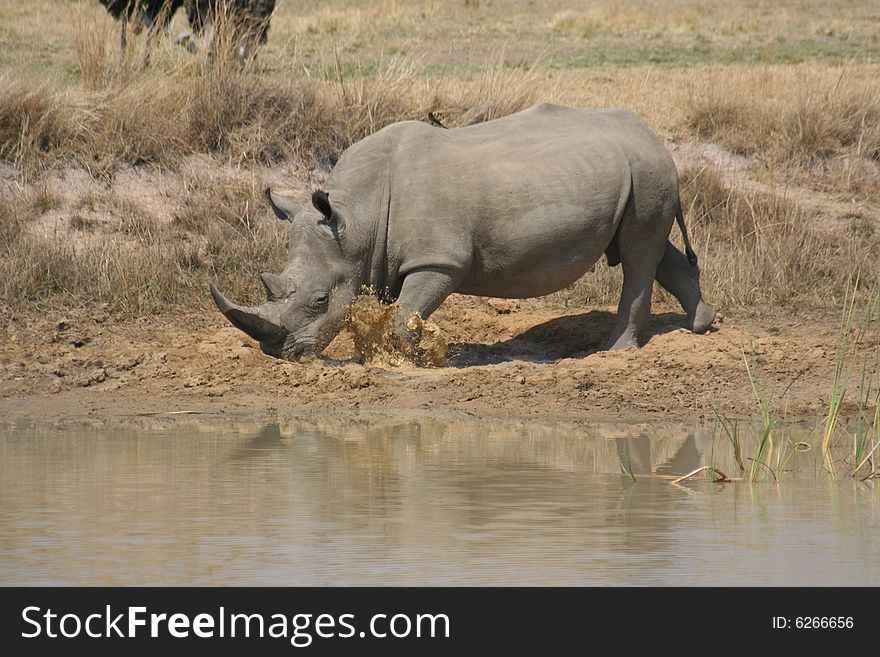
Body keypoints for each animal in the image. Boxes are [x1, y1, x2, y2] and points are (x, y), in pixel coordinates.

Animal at [211, 102, 716, 358]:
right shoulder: (385, 258)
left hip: (646, 169)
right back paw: (700, 325)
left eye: (319, 300)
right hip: (638, 171)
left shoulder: (439, 261)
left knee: (636, 254)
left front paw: (408, 361)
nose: (278, 352)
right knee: (649, 248)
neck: (355, 219)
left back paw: (613, 352)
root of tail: (653, 135)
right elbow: (398, 313)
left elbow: (405, 317)